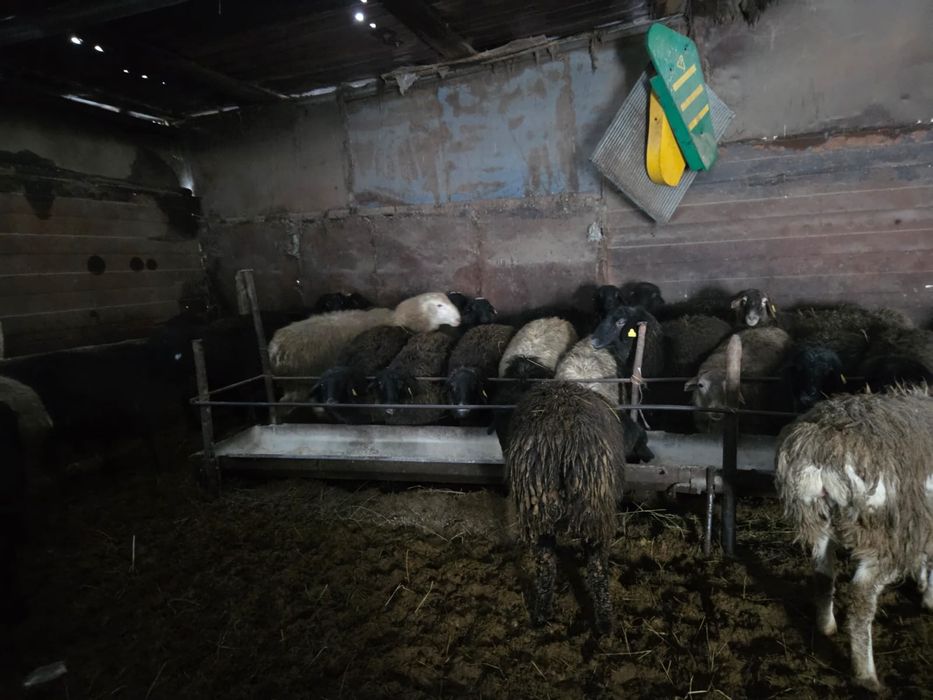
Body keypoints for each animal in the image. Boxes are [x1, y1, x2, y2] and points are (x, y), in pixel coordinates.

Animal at [506, 380, 631, 633]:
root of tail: (560, 438)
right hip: (596, 508)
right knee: (597, 568)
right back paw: (605, 624)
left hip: (538, 506)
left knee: (545, 566)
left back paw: (541, 617)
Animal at [775, 387, 933, 691]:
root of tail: (822, 449)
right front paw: (929, 598)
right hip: (884, 535)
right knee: (861, 596)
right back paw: (866, 676)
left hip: (818, 518)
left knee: (823, 575)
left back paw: (826, 627)